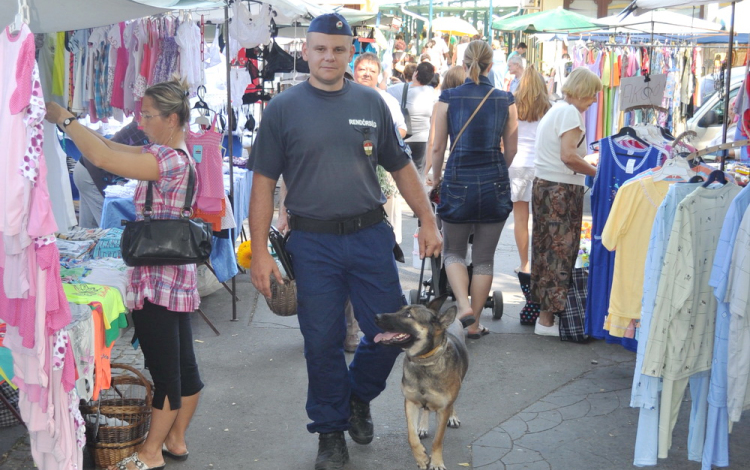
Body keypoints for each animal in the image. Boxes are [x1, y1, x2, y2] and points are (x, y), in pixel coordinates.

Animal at [376, 296, 470, 468]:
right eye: (399, 309)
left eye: (408, 315)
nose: (376, 316)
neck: (424, 362)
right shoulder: (410, 402)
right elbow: (411, 436)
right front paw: (421, 457)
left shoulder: (443, 409)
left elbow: (438, 440)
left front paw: (436, 462)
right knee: (426, 409)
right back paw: (423, 426)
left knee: (452, 402)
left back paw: (452, 417)